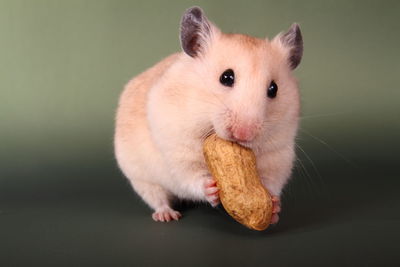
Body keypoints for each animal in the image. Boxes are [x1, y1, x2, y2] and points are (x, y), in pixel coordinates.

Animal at [114, 6, 302, 224]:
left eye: (273, 89)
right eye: (226, 77)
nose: (243, 134)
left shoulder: (278, 155)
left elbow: (271, 182)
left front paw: (273, 207)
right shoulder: (177, 150)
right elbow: (190, 176)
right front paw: (211, 189)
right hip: (140, 177)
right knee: (156, 196)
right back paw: (167, 215)